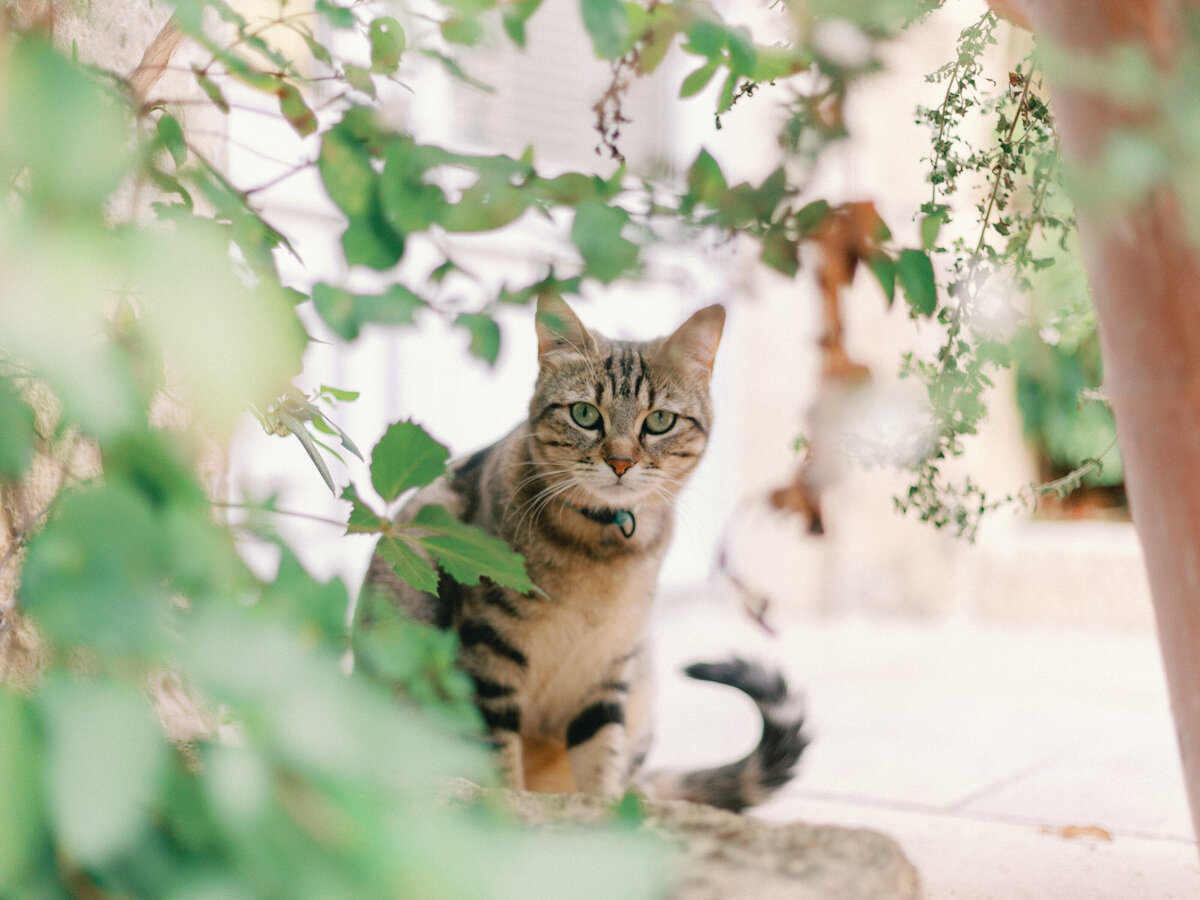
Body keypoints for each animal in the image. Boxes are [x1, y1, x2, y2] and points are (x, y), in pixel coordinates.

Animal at [355, 296, 806, 811]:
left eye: (660, 421)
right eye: (586, 414)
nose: (621, 461)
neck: (602, 549)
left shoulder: (608, 667)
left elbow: (600, 760)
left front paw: (606, 814)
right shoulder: (486, 653)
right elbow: (497, 758)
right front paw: (511, 808)